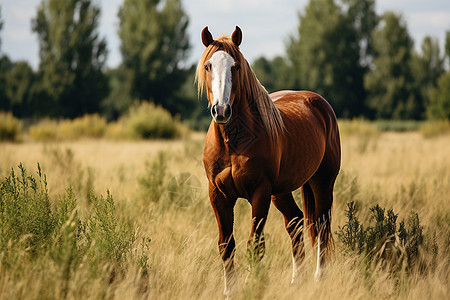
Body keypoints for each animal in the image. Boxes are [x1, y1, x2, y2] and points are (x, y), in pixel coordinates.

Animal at [197, 26, 342, 296]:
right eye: (208, 65)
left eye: (236, 66)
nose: (221, 111)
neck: (233, 141)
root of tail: (319, 103)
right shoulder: (218, 194)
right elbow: (226, 245)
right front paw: (230, 292)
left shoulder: (260, 192)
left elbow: (255, 245)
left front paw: (252, 287)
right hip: (281, 192)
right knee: (296, 223)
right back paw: (297, 280)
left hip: (322, 181)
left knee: (321, 226)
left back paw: (319, 278)